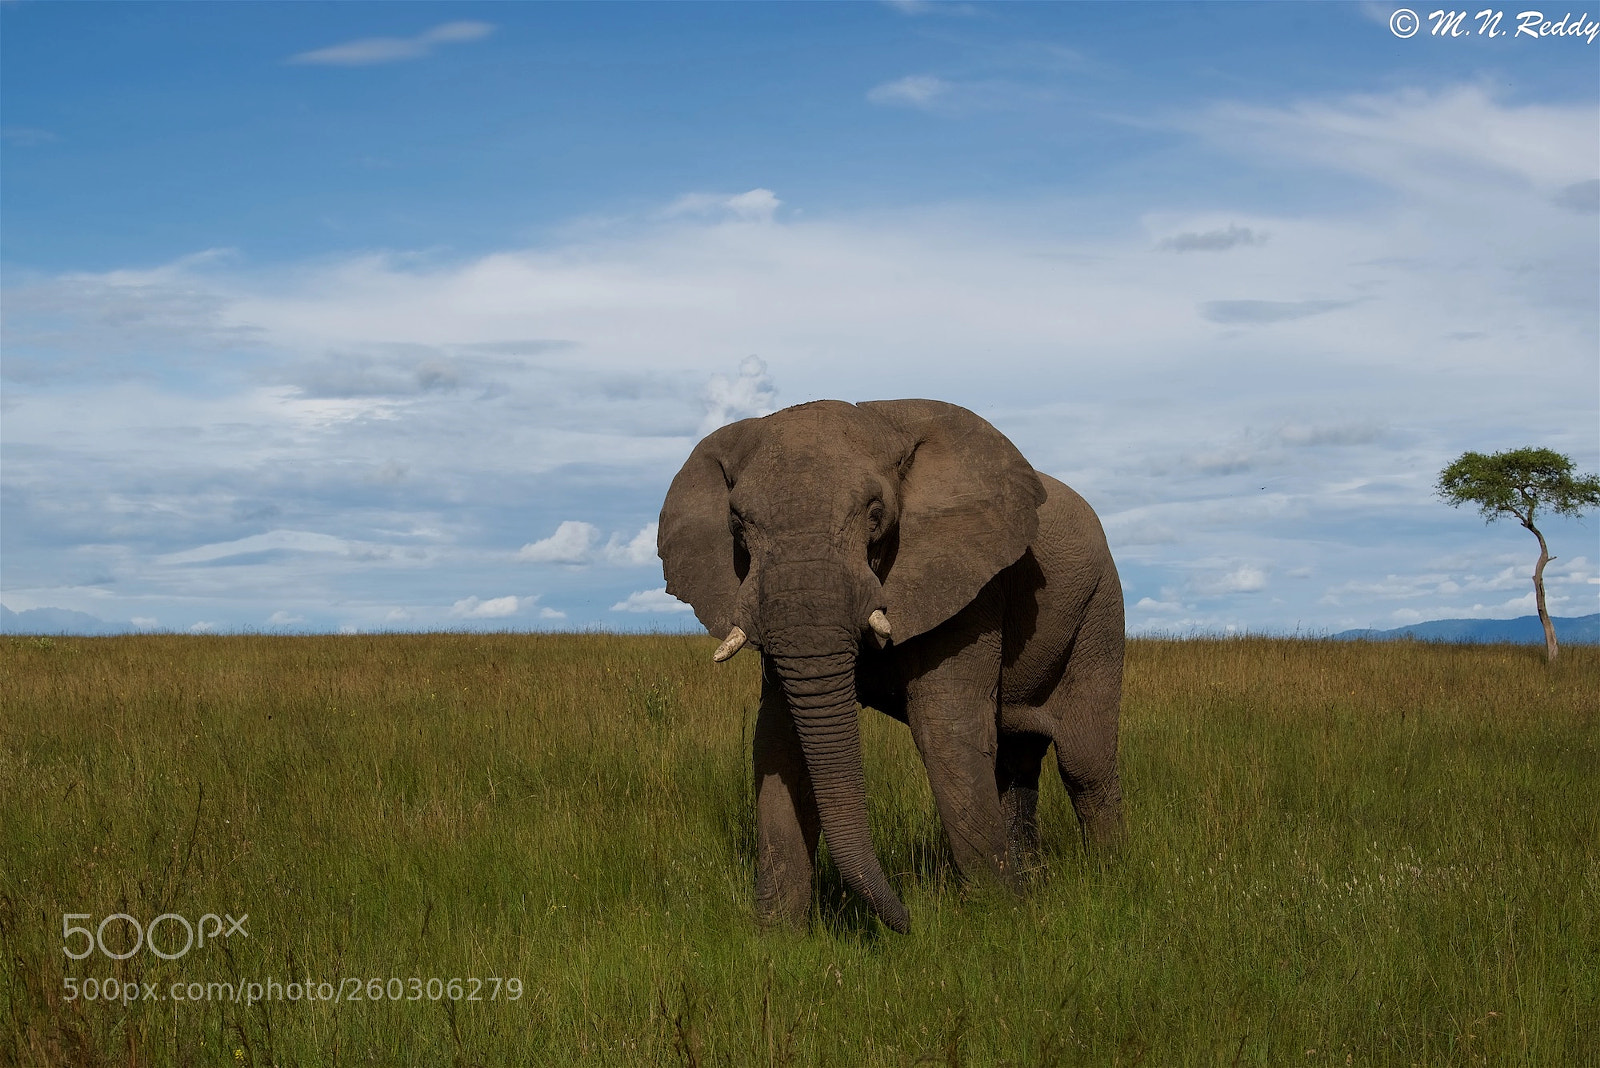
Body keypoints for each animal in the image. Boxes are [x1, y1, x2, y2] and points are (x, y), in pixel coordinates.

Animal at [658, 399, 1123, 934]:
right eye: (736, 523)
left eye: (876, 514)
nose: (908, 921)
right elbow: (779, 739)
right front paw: (776, 935)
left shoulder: (970, 585)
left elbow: (946, 732)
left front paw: (997, 919)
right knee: (1017, 758)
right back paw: (1034, 885)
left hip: (1100, 609)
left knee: (1084, 761)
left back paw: (1111, 881)